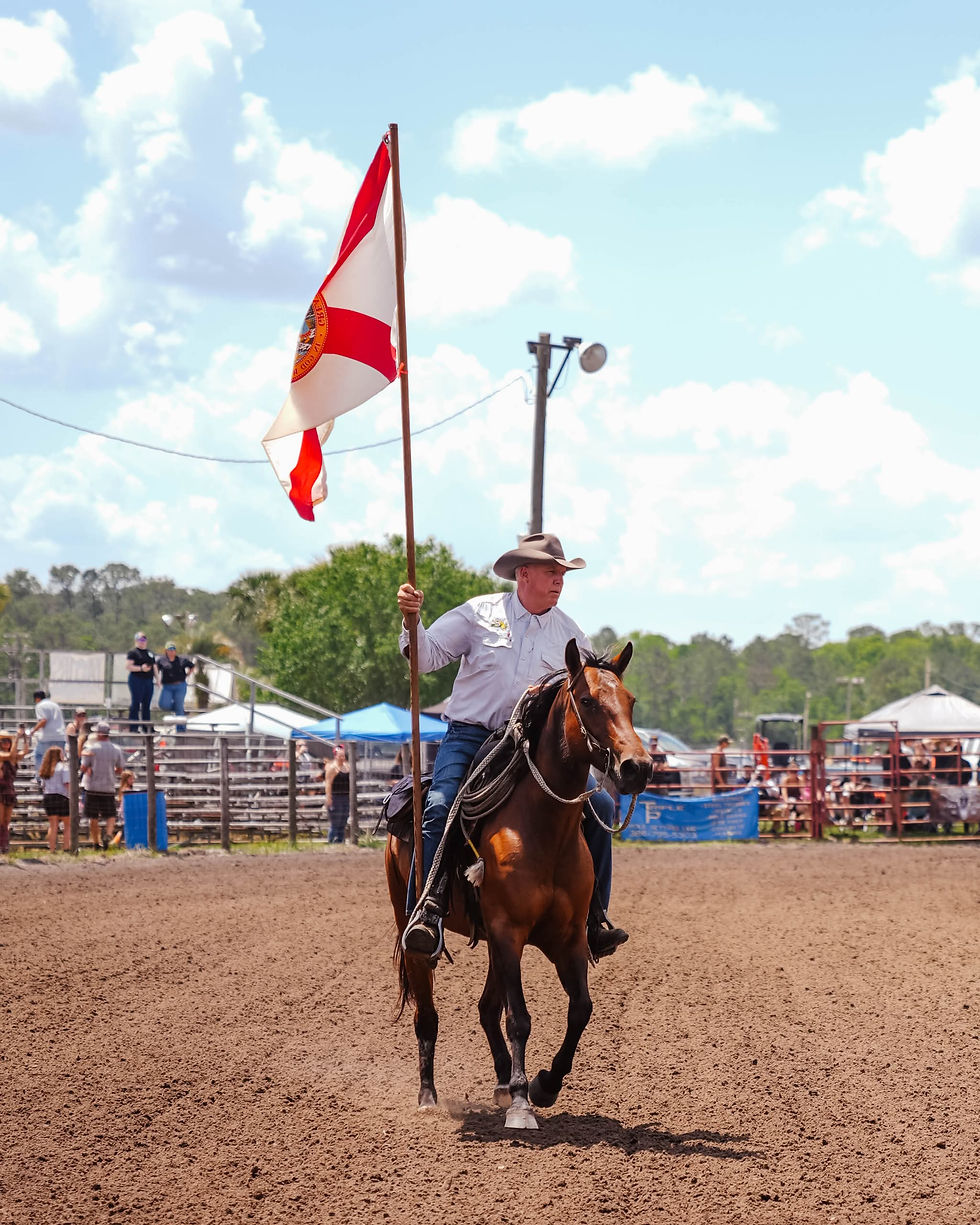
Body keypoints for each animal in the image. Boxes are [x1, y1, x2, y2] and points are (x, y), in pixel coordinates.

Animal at [385, 638, 651, 1129]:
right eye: (587, 701)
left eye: (630, 700)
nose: (636, 767)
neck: (543, 830)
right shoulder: (509, 932)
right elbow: (520, 1019)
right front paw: (524, 1104)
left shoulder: (565, 938)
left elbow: (580, 1009)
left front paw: (545, 1085)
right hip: (412, 923)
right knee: (428, 1014)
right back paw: (430, 1096)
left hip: (492, 940)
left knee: (487, 1009)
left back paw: (503, 1082)